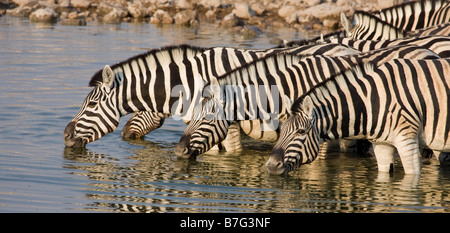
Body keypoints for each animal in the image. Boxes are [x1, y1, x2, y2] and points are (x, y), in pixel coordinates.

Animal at [268, 58, 450, 175]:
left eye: (300, 132)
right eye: (282, 130)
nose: (271, 165)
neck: (371, 103)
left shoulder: (407, 140)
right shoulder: (382, 144)